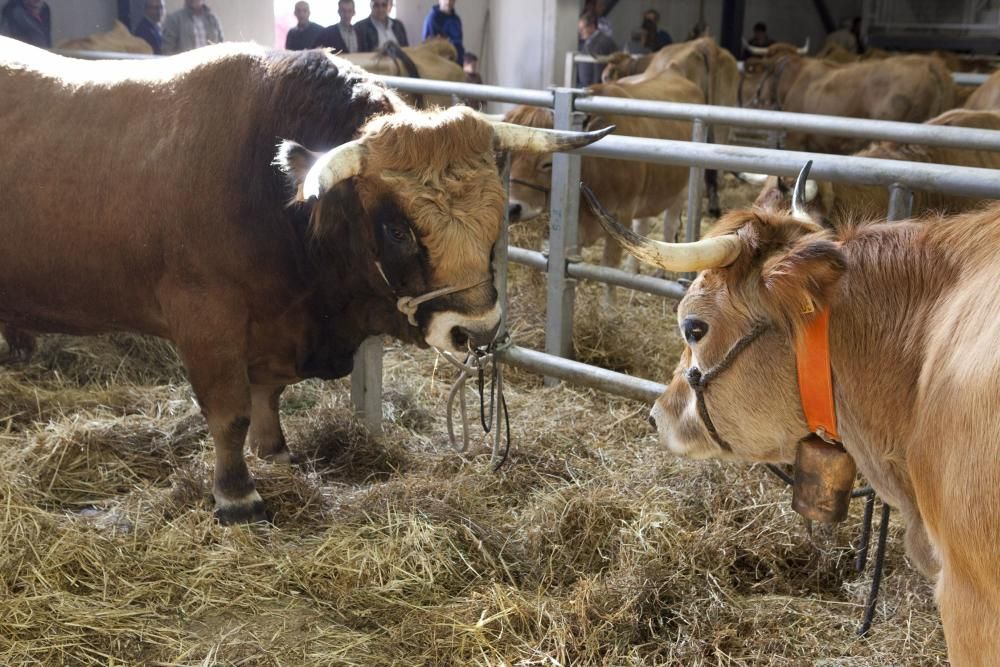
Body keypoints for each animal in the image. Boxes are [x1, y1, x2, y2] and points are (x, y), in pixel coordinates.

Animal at [0, 39, 604, 524]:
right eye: (396, 228)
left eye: (497, 217)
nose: (475, 331)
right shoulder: (206, 318)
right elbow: (229, 412)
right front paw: (237, 496)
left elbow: (267, 396)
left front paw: (276, 454)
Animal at [508, 71, 704, 302]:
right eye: (506, 155)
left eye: (548, 162)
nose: (512, 208)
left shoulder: (620, 215)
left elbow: (609, 271)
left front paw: (608, 306)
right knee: (642, 227)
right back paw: (633, 270)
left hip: (681, 192)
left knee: (669, 227)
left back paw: (659, 272)